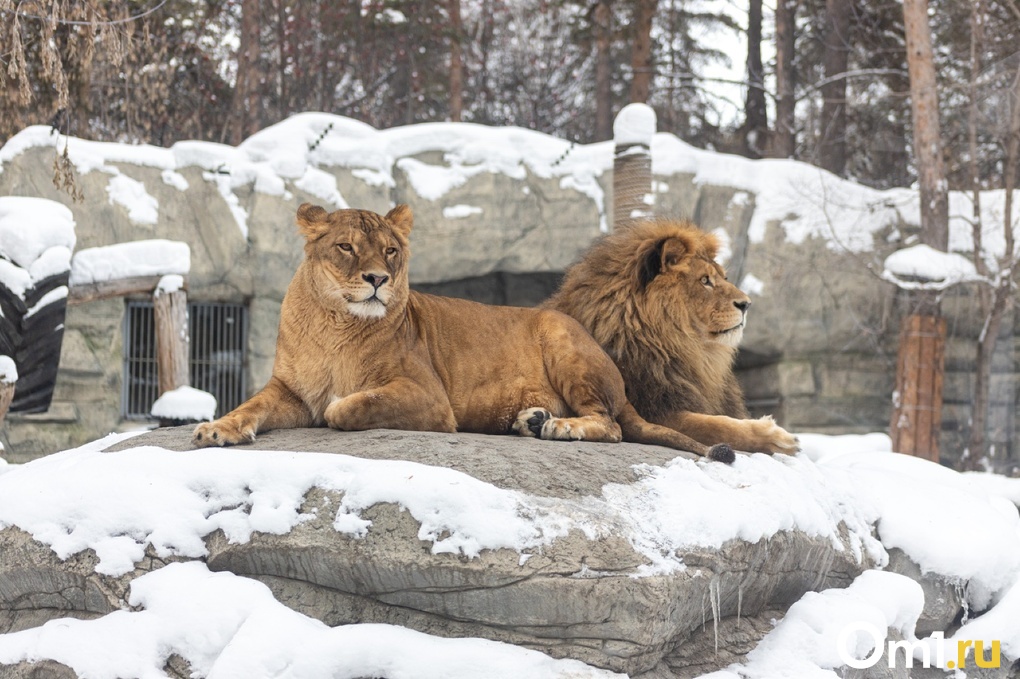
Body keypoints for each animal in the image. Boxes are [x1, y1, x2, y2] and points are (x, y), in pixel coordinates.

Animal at [193, 204, 735, 463]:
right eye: (346, 247)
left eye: (390, 251)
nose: (378, 279)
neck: (335, 325)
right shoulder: (287, 389)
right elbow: (250, 406)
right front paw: (217, 428)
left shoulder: (429, 398)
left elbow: (344, 407)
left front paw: (340, 404)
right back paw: (532, 420)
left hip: (561, 338)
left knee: (613, 424)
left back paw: (560, 427)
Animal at [544, 219, 799, 455]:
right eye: (705, 280)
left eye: (723, 278)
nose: (746, 304)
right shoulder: (654, 411)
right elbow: (713, 426)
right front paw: (776, 437)